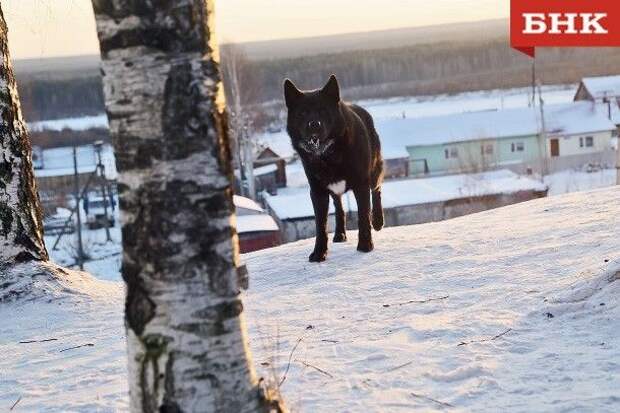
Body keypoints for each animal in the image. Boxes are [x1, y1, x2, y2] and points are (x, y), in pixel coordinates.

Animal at [284, 74, 382, 260]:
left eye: (323, 110)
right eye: (302, 113)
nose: (314, 124)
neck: (327, 155)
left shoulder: (361, 185)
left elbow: (363, 215)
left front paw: (365, 246)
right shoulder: (318, 192)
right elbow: (320, 225)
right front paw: (318, 253)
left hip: (374, 172)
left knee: (377, 190)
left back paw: (378, 221)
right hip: (334, 190)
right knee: (339, 207)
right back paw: (339, 234)